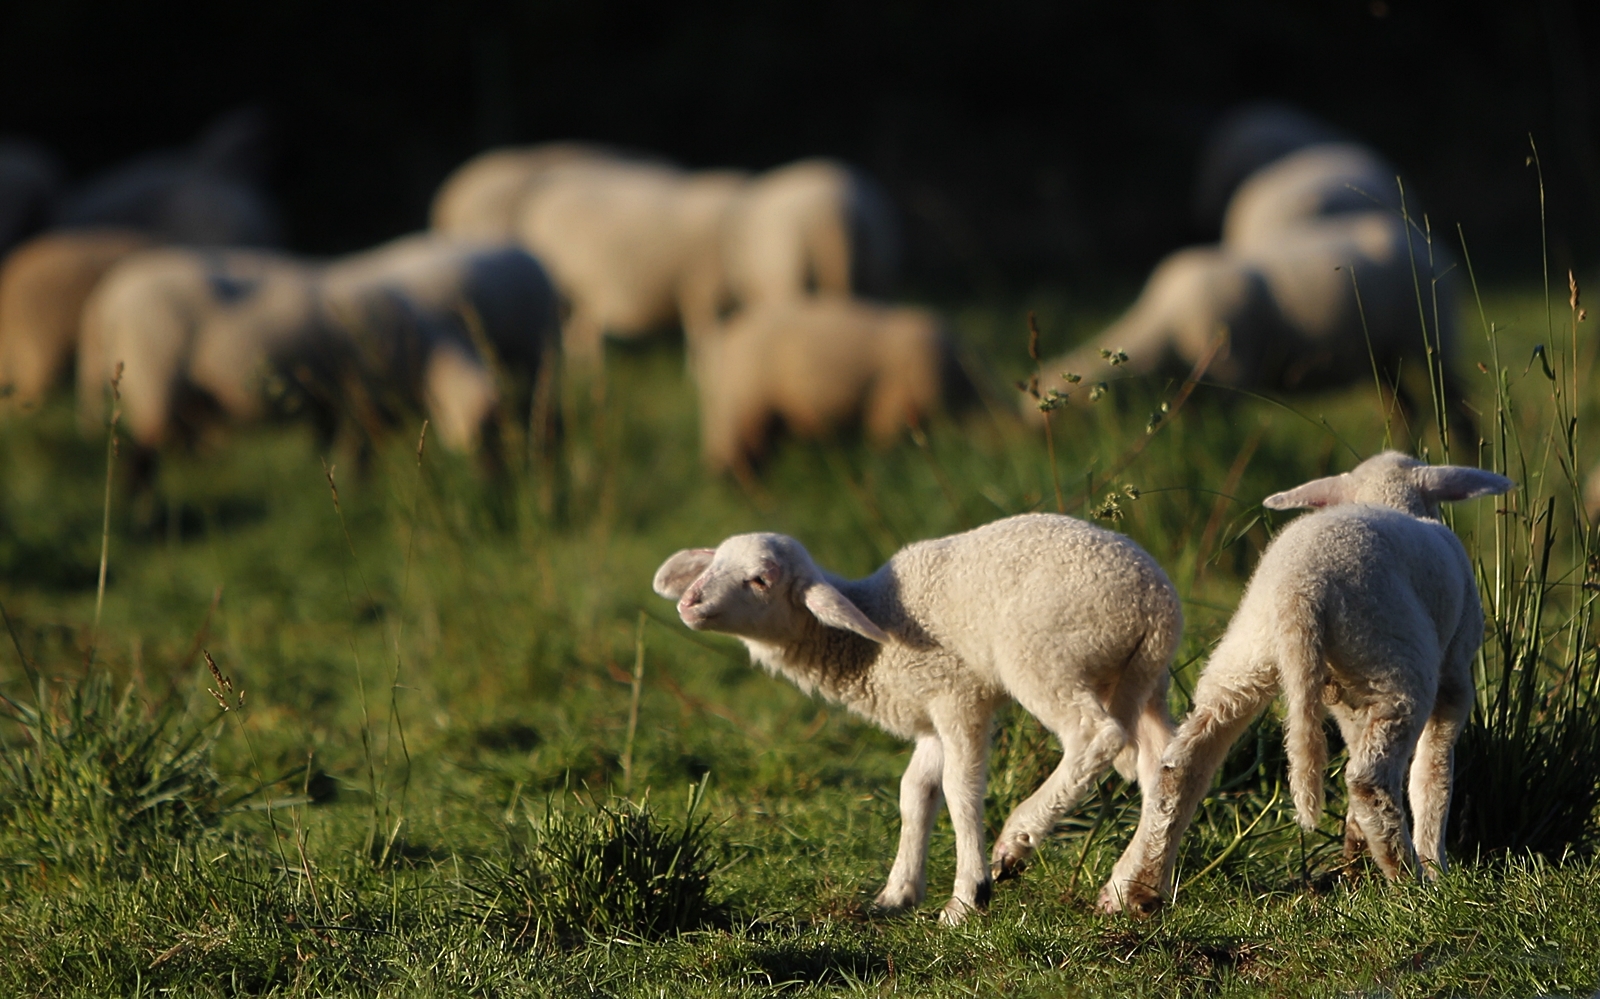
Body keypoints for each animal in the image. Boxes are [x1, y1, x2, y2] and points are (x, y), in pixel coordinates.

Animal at [652, 515, 1190, 928]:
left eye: (760, 580)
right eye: (714, 564)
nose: (689, 602)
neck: (870, 639)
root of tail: (1156, 604)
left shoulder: (958, 694)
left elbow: (960, 789)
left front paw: (968, 897)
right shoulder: (931, 713)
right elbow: (915, 793)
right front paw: (898, 892)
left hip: (1044, 657)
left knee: (1097, 736)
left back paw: (1018, 840)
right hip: (1140, 677)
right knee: (1165, 767)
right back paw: (1134, 887)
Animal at [1100, 451, 1510, 922]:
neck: (1388, 495)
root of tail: (1302, 590)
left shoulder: (1350, 696)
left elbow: (1359, 741)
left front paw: (1355, 853)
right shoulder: (1455, 673)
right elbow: (1434, 771)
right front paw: (1434, 863)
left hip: (1248, 657)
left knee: (1179, 766)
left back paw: (1135, 888)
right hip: (1398, 660)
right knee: (1369, 778)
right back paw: (1411, 880)